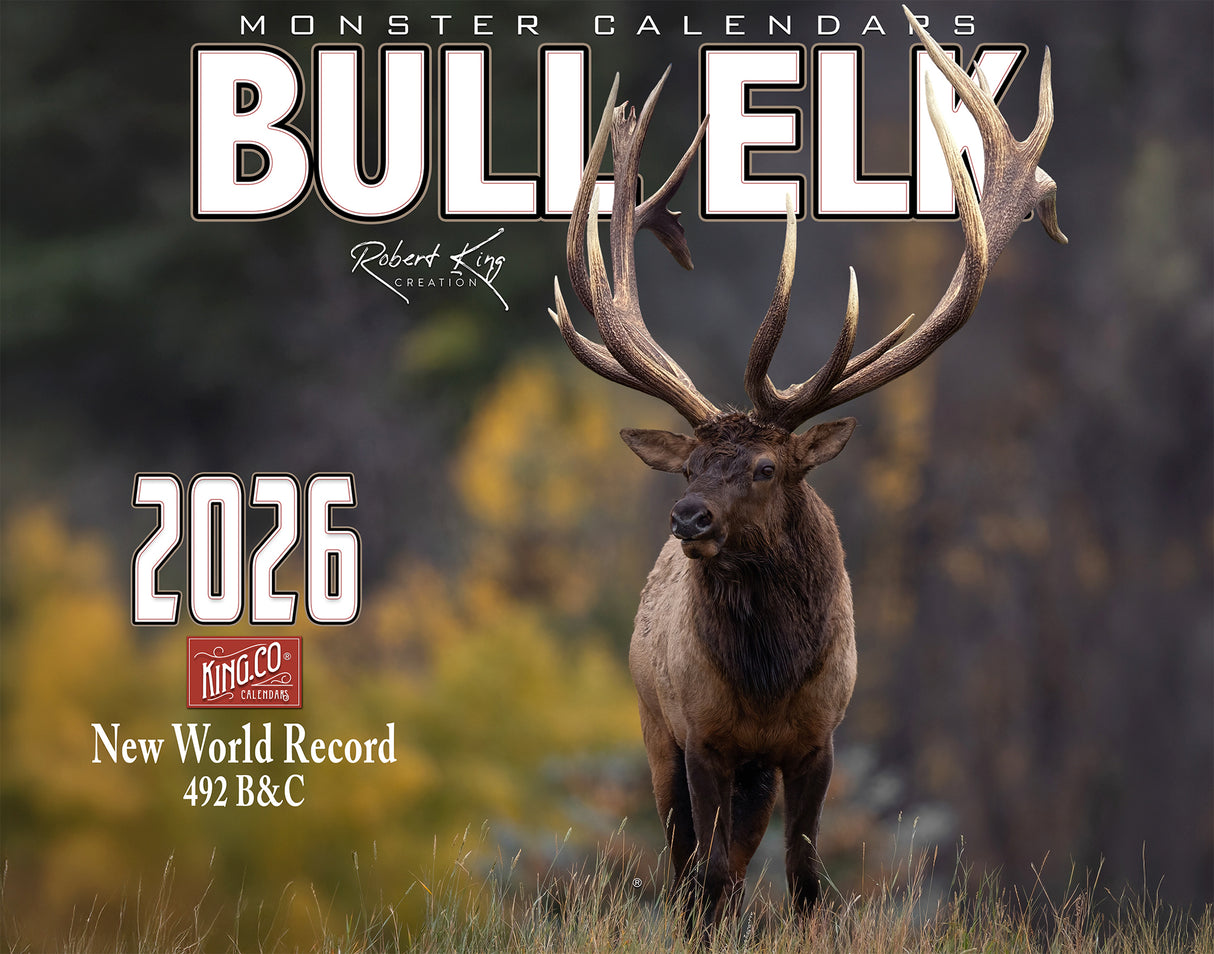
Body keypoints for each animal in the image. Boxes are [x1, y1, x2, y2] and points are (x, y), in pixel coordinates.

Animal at [547, 8, 1066, 927]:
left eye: (763, 467)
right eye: (687, 469)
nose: (687, 518)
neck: (767, 684)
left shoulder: (819, 739)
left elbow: (806, 875)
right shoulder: (701, 736)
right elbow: (707, 875)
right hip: (653, 728)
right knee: (688, 861)